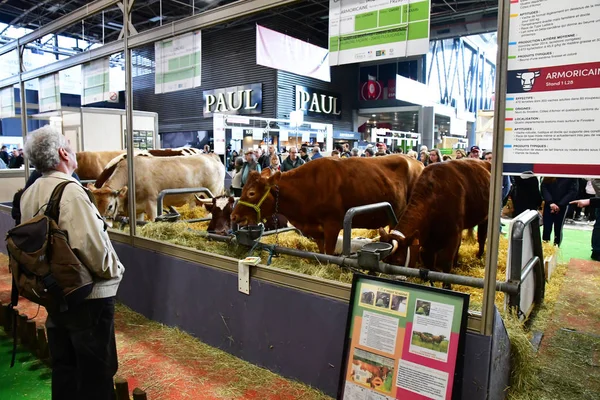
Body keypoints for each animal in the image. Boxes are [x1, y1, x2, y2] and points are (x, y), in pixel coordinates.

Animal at [91, 154, 225, 222]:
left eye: (110, 206)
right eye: (94, 204)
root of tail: (211, 155)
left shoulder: (152, 203)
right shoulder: (138, 208)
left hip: (213, 192)